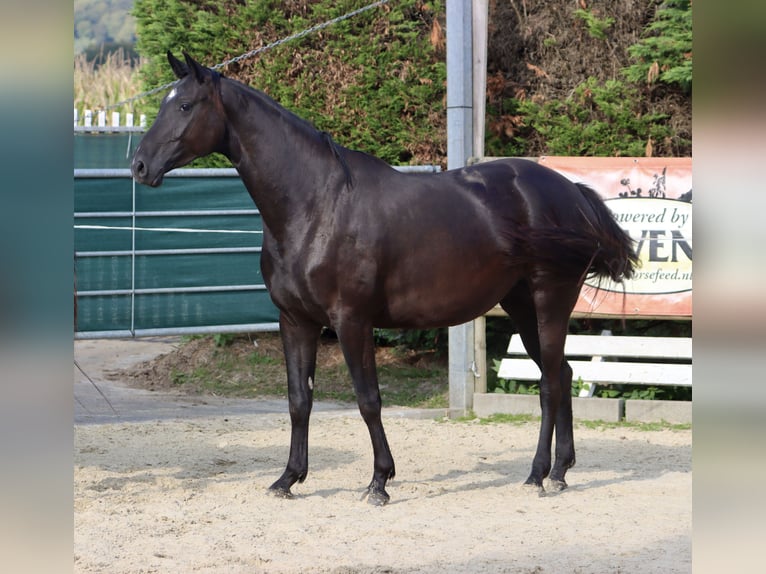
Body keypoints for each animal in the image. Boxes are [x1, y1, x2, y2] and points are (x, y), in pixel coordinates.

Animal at [130, 51, 636, 506]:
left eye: (184, 105)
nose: (139, 166)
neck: (316, 205)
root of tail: (572, 191)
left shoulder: (352, 321)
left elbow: (368, 399)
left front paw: (379, 481)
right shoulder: (295, 321)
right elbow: (298, 400)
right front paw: (288, 479)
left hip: (550, 299)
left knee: (550, 381)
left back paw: (542, 475)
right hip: (520, 305)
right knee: (562, 374)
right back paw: (556, 472)